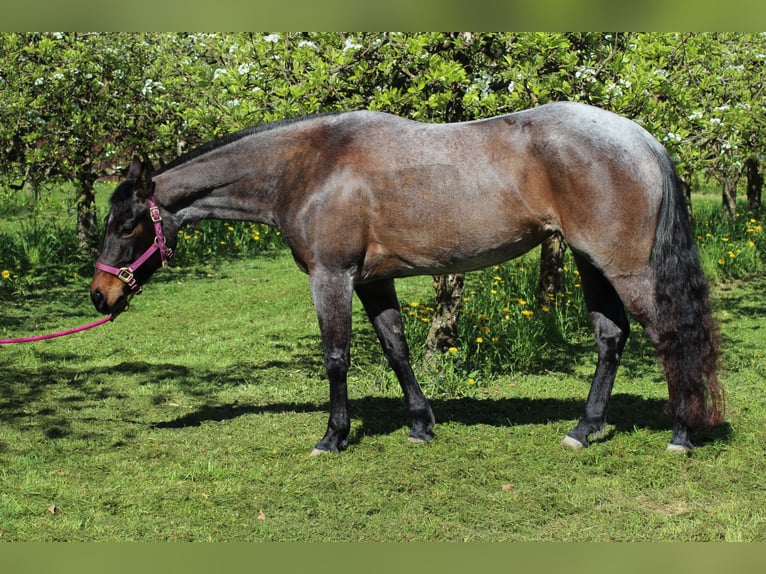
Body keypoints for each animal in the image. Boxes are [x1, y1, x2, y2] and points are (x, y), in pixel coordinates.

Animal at [91, 101, 723, 455]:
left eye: (126, 224)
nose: (101, 295)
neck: (308, 167)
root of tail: (640, 138)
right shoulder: (373, 279)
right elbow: (396, 348)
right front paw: (421, 425)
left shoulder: (332, 277)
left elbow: (337, 357)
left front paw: (333, 437)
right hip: (591, 262)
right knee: (609, 339)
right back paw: (583, 429)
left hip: (626, 268)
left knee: (669, 337)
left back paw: (681, 435)